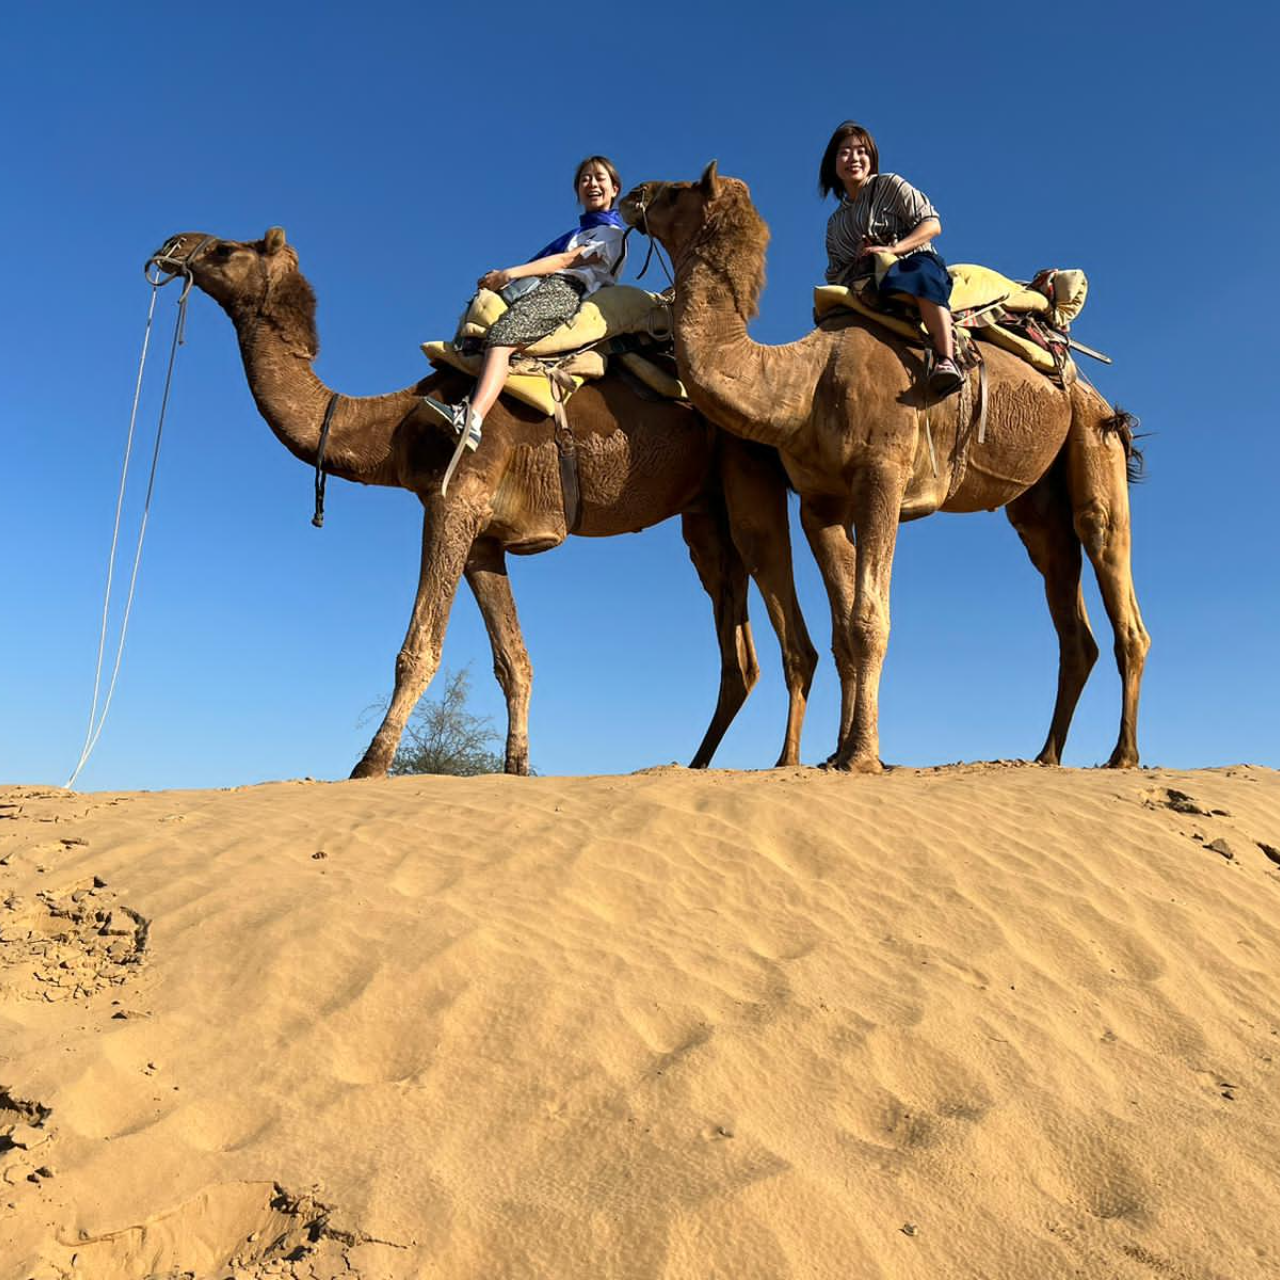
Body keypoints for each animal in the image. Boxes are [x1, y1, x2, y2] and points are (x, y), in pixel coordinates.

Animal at [147, 227, 817, 777]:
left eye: (225, 250)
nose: (171, 246)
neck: (395, 424)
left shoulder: (452, 503)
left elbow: (419, 649)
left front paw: (368, 765)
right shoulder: (485, 540)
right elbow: (513, 659)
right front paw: (516, 768)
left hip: (748, 478)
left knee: (790, 629)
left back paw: (787, 762)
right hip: (704, 518)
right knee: (737, 652)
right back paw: (695, 765)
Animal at [620, 165, 1149, 772]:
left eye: (677, 191)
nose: (634, 194)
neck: (805, 380)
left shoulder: (883, 475)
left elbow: (869, 620)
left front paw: (861, 758)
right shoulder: (820, 504)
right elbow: (843, 630)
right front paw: (837, 754)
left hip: (1092, 436)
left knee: (1107, 552)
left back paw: (1123, 755)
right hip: (1036, 502)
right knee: (1065, 596)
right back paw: (1046, 755)